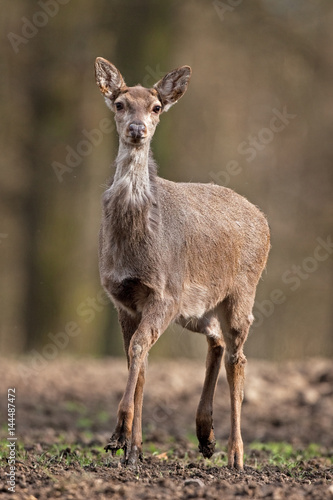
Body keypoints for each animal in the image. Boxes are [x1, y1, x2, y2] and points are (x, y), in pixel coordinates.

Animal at [94, 57, 270, 468]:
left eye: (156, 107)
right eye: (120, 104)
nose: (137, 129)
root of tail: (264, 221)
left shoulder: (165, 292)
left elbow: (138, 349)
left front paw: (118, 435)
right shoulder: (123, 299)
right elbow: (137, 360)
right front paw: (133, 449)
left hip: (242, 291)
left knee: (238, 358)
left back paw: (236, 455)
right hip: (197, 308)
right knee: (217, 341)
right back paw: (205, 437)